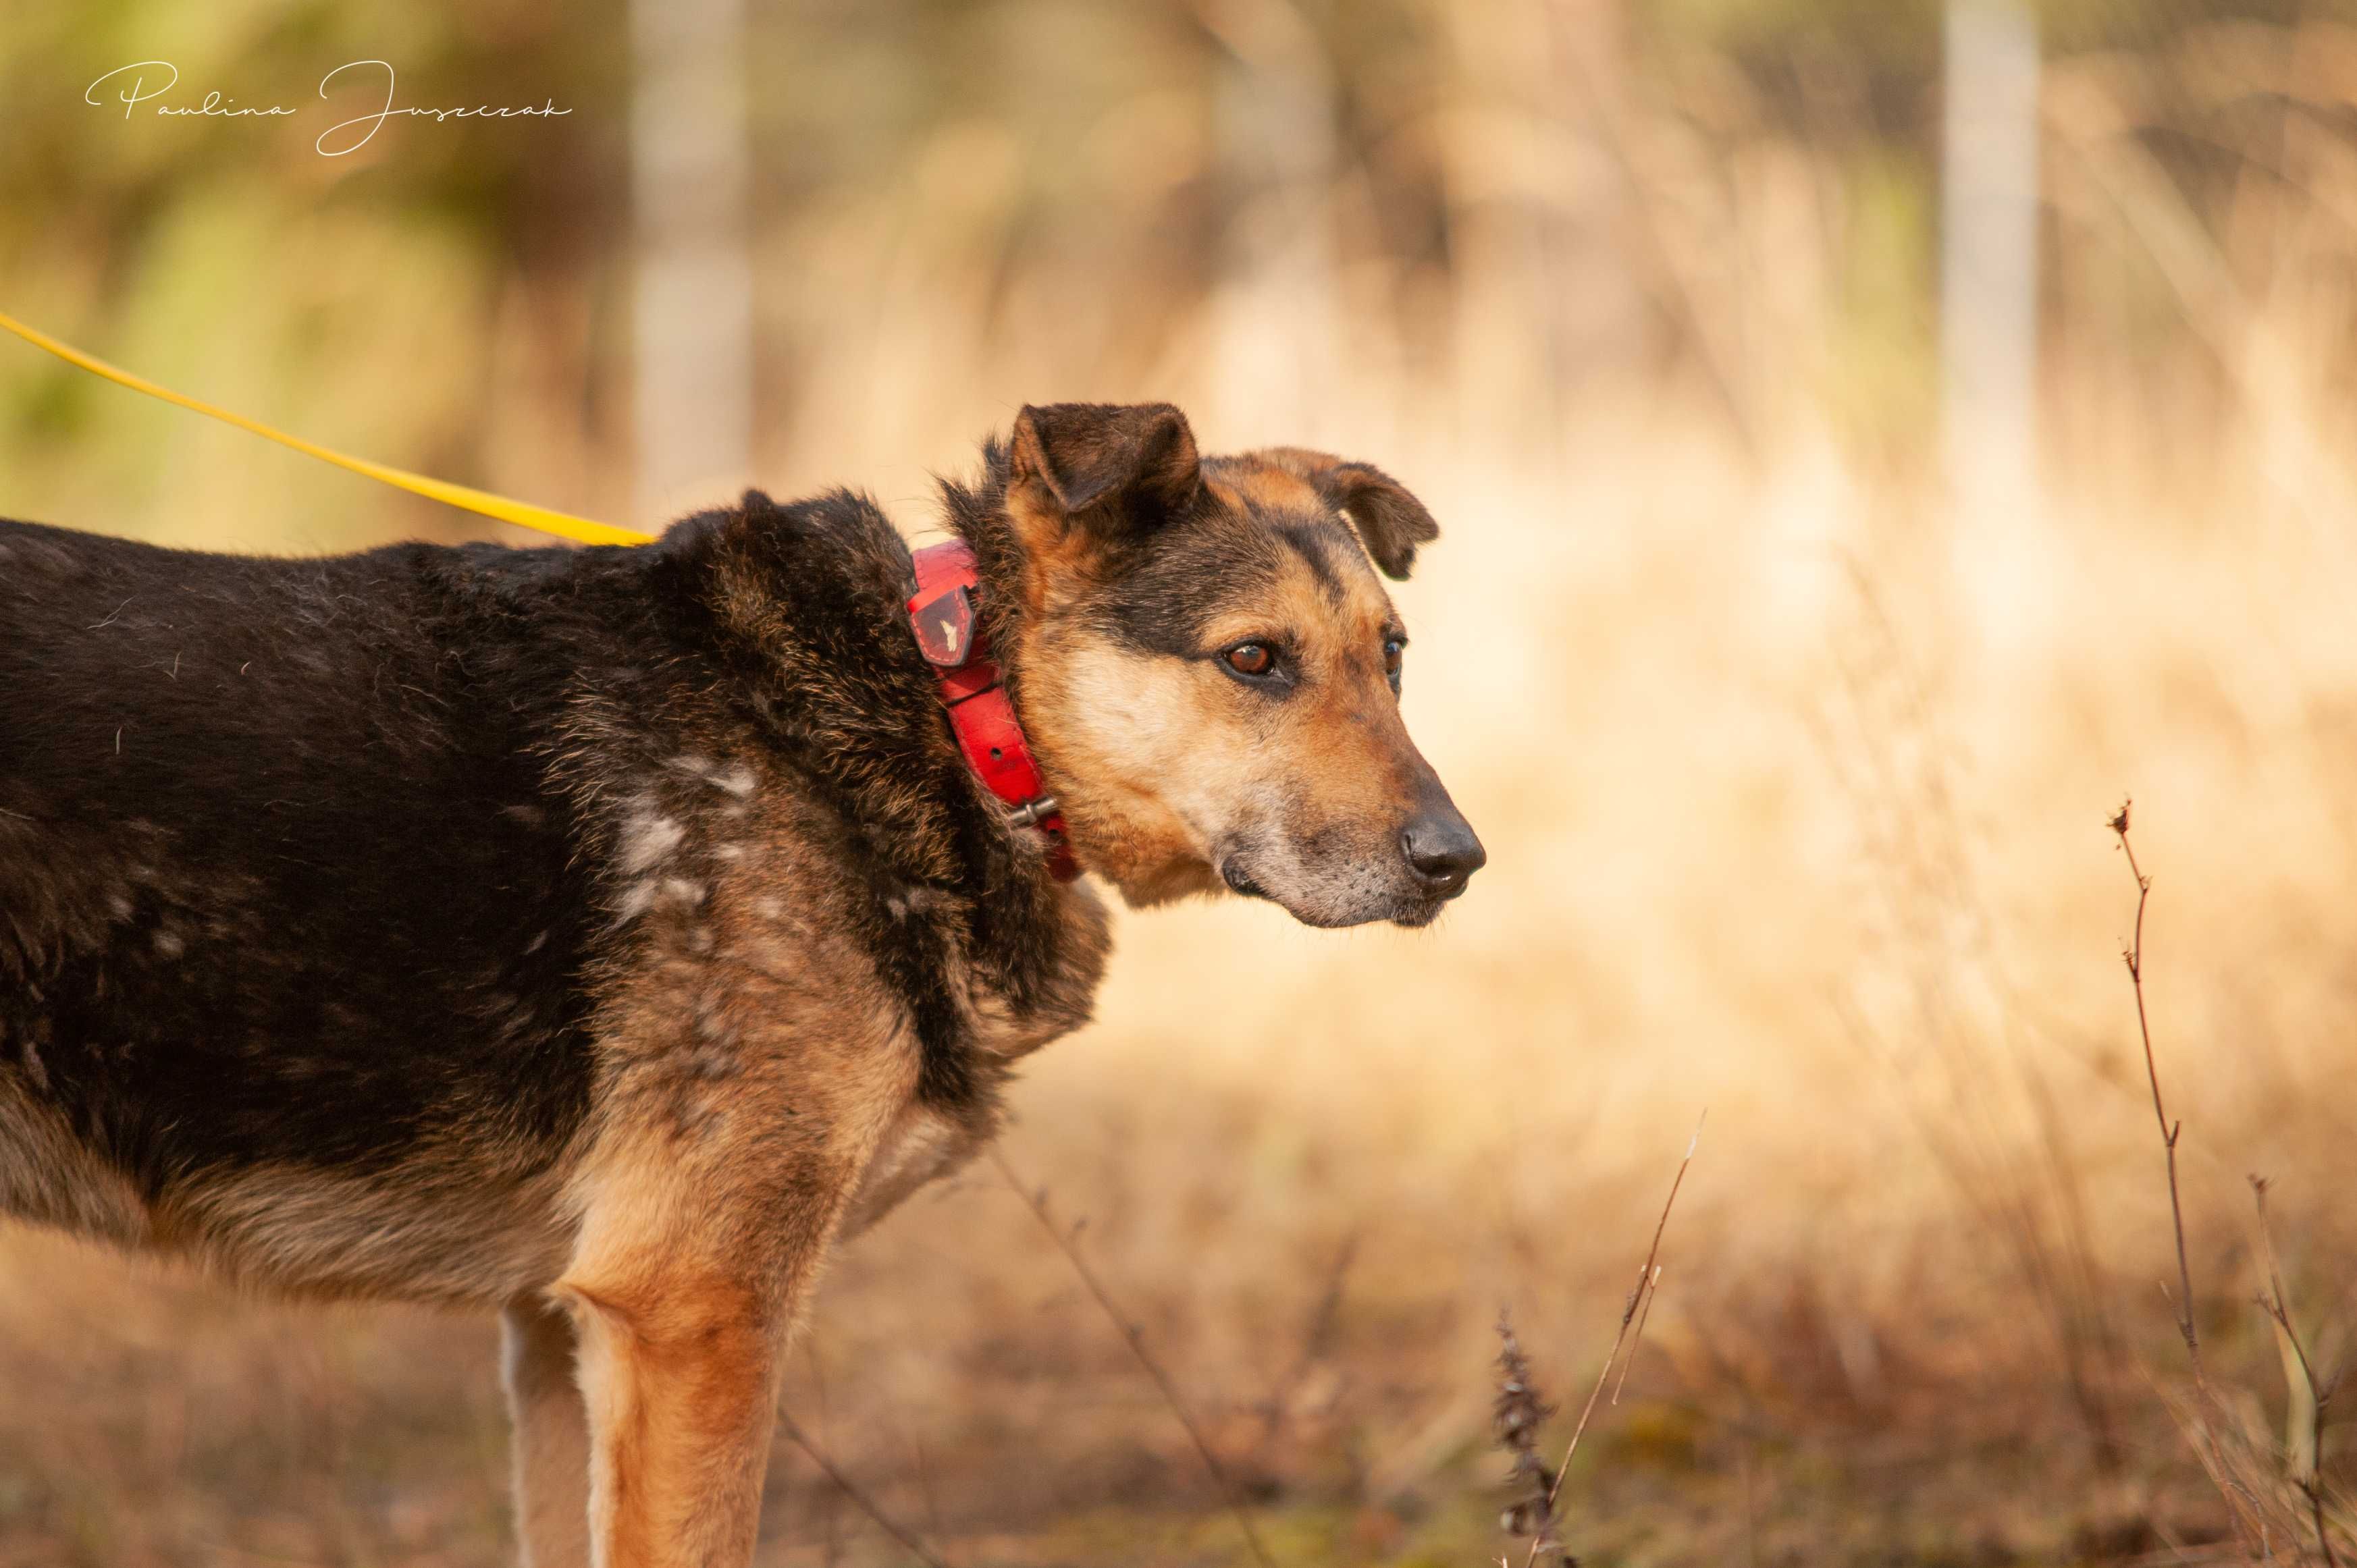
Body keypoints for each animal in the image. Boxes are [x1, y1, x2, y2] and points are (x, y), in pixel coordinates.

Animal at [0, 403, 1471, 1565]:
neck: (950, 700)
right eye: (1251, 659)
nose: (1457, 861)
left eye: (1393, 654)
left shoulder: (559, 1331)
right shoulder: (695, 1311)